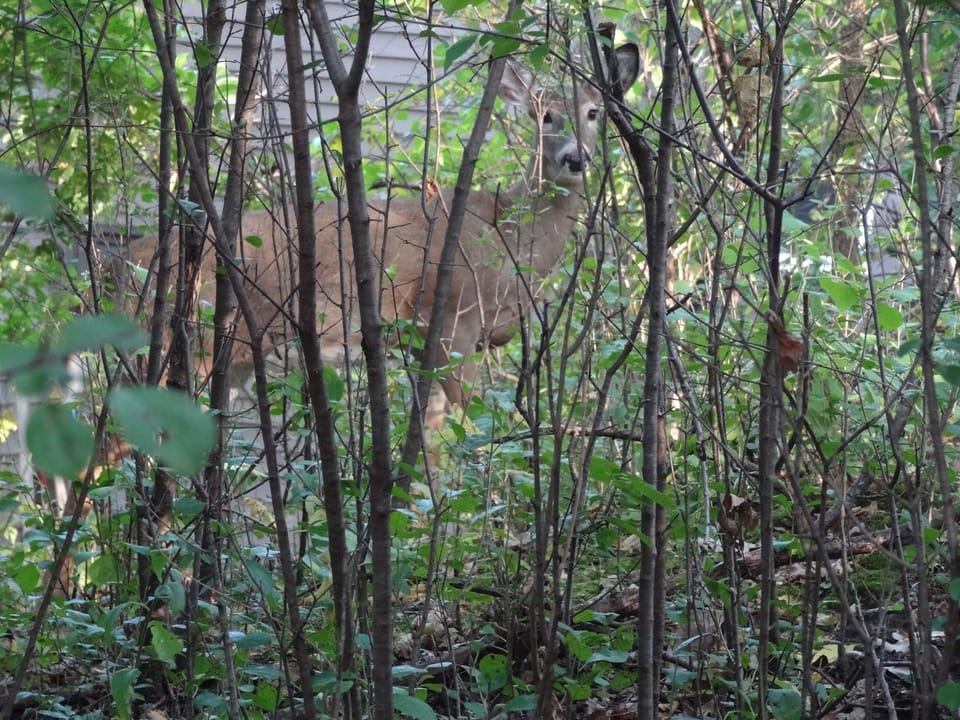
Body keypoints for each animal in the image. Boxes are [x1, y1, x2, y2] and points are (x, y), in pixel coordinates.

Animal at [111, 45, 640, 420]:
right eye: (543, 115)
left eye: (595, 112)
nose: (574, 159)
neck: (509, 238)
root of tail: (125, 262)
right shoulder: (451, 320)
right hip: (182, 347)